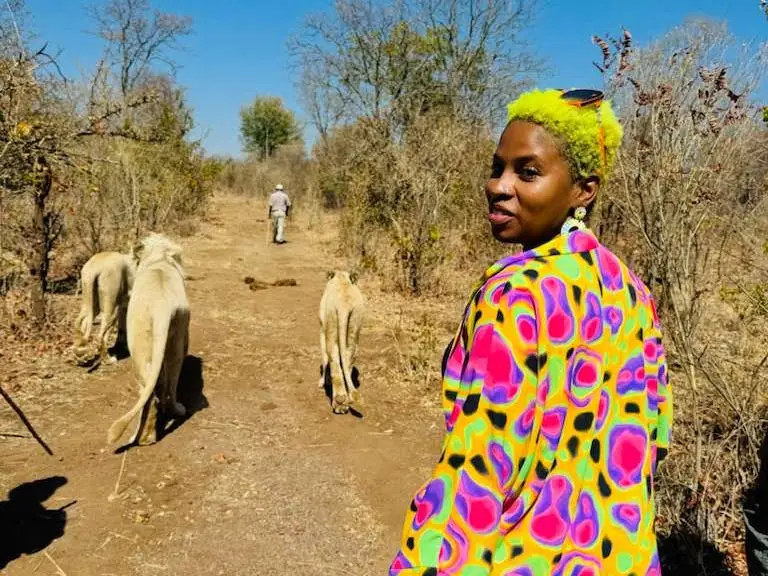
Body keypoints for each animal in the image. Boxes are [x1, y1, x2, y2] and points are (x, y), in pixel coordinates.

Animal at [107, 233, 189, 446]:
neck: (159, 259)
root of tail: (162, 308)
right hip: (178, 335)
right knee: (171, 379)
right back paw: (174, 410)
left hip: (139, 345)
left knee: (149, 392)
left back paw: (144, 437)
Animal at [318, 270, 365, 414]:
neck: (341, 278)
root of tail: (343, 304)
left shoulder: (322, 329)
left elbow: (324, 359)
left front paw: (322, 382)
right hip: (355, 321)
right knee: (349, 356)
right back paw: (345, 400)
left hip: (331, 320)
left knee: (332, 358)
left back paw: (339, 403)